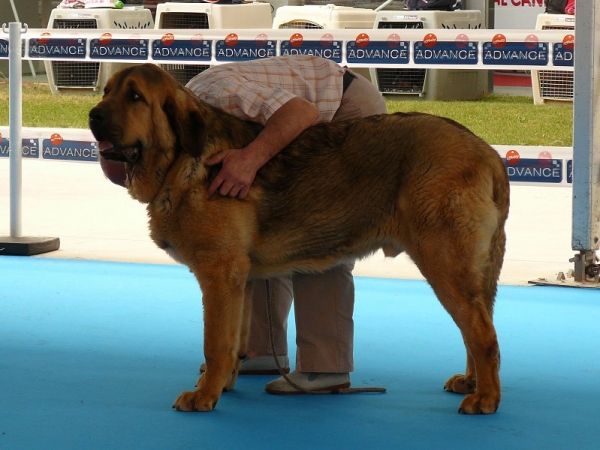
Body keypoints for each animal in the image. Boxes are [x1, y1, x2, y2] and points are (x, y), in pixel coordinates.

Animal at [89, 62, 510, 414]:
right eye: (106, 91)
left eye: (135, 97)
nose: (93, 115)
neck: (178, 161)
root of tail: (487, 153)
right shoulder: (241, 280)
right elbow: (235, 341)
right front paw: (222, 384)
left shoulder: (219, 274)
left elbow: (215, 344)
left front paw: (204, 395)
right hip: (466, 273)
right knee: (478, 326)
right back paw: (471, 382)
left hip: (444, 264)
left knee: (483, 336)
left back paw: (486, 398)